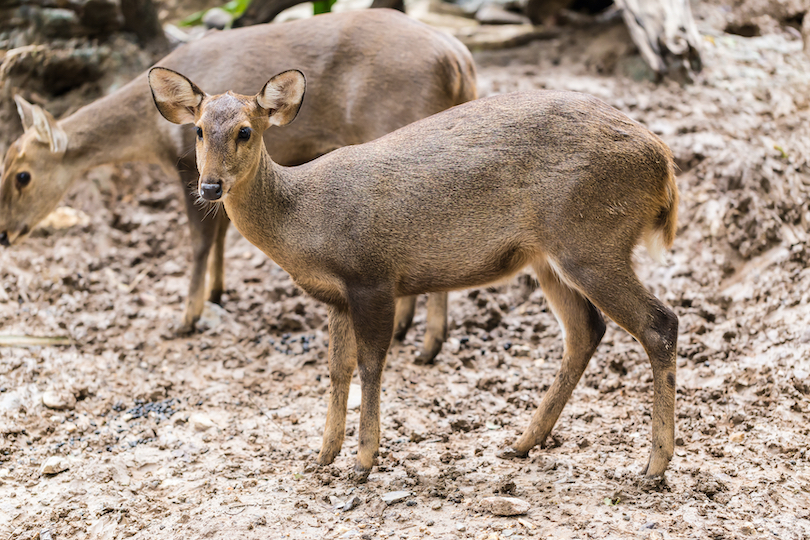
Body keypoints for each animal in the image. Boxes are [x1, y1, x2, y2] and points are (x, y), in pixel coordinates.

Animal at [148, 68, 680, 480]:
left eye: (245, 131)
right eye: (199, 130)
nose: (210, 186)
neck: (305, 222)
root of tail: (665, 166)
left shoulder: (373, 277)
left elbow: (371, 364)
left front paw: (363, 461)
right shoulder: (337, 296)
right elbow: (337, 368)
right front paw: (322, 455)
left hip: (591, 238)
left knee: (660, 323)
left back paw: (653, 465)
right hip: (547, 256)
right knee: (586, 330)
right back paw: (522, 442)